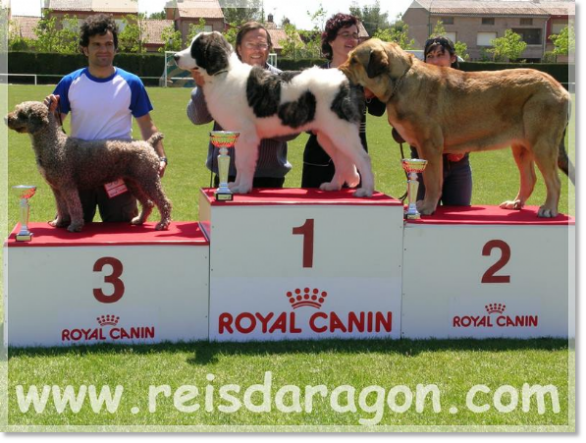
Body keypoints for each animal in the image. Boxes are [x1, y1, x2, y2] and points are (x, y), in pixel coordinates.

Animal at [175, 32, 374, 197]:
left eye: (196, 48)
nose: (175, 57)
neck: (223, 73)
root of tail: (346, 79)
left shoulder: (246, 135)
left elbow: (244, 163)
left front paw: (242, 188)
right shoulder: (239, 136)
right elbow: (239, 162)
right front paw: (235, 185)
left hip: (342, 131)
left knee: (363, 158)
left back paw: (366, 190)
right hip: (328, 136)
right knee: (341, 160)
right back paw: (333, 186)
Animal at [338, 37, 572, 217]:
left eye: (354, 60)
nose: (337, 70)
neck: (400, 80)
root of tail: (561, 89)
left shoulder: (429, 145)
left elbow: (432, 179)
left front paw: (426, 207)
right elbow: (429, 179)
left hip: (542, 145)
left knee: (554, 181)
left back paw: (549, 209)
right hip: (522, 147)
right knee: (530, 178)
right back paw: (516, 204)